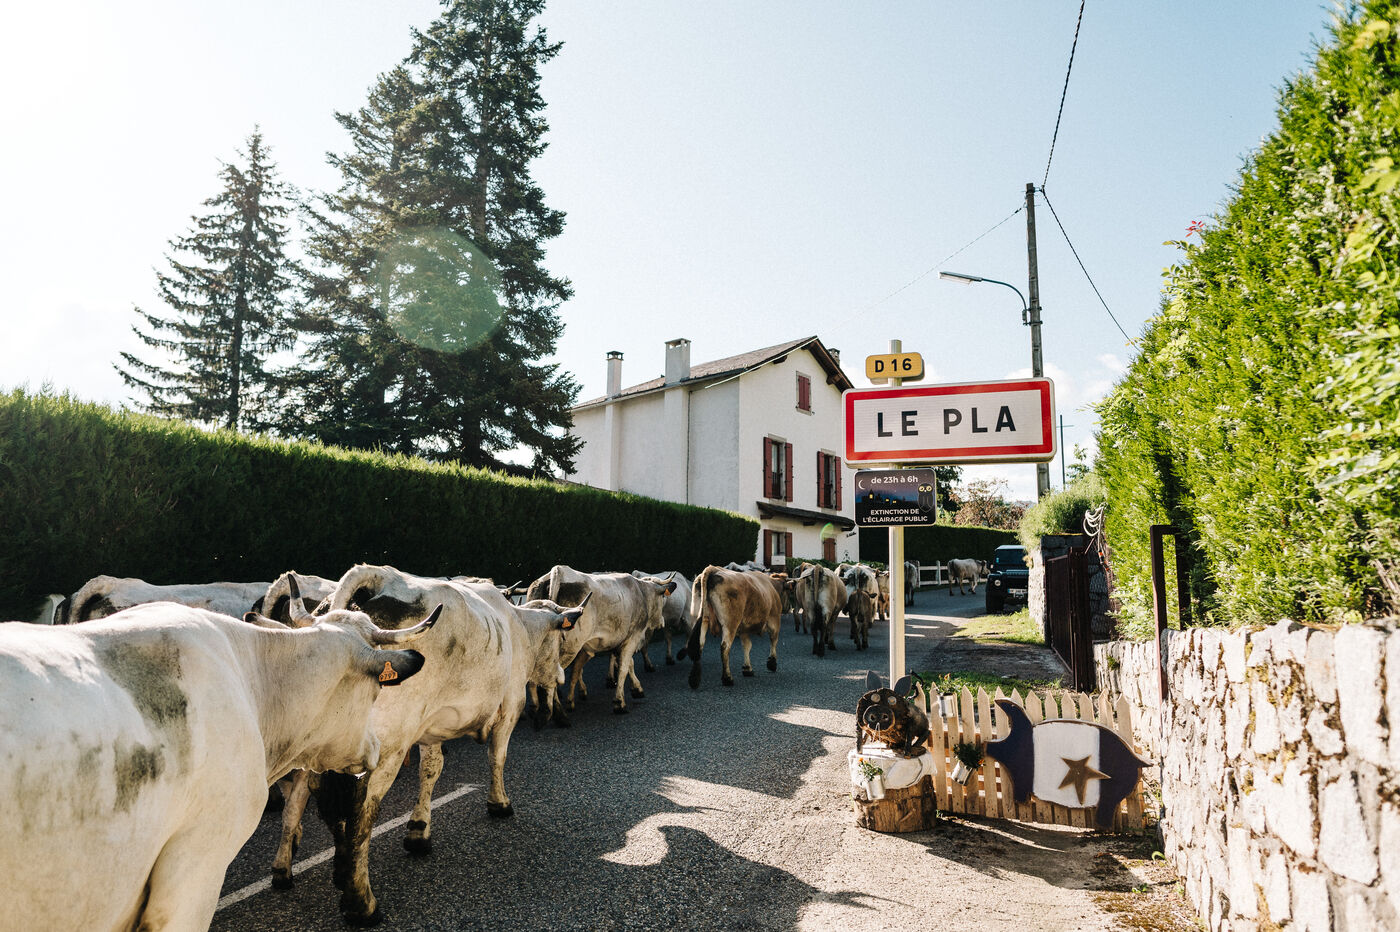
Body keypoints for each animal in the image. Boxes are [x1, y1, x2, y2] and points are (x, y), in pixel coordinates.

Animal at [283, 565, 585, 925]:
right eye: (561, 637)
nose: (560, 676)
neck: (518, 626)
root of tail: (374, 576)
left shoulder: (429, 728)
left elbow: (430, 770)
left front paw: (418, 831)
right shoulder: (511, 705)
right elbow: (497, 756)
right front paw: (499, 803)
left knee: (310, 796)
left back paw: (318, 871)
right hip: (388, 747)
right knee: (361, 811)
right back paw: (362, 902)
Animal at [525, 565, 675, 715]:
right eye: (663, 596)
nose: (662, 622)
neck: (641, 592)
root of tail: (559, 570)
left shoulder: (618, 641)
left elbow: (628, 664)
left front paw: (636, 689)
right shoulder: (632, 637)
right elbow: (623, 668)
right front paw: (619, 702)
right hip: (569, 648)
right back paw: (558, 711)